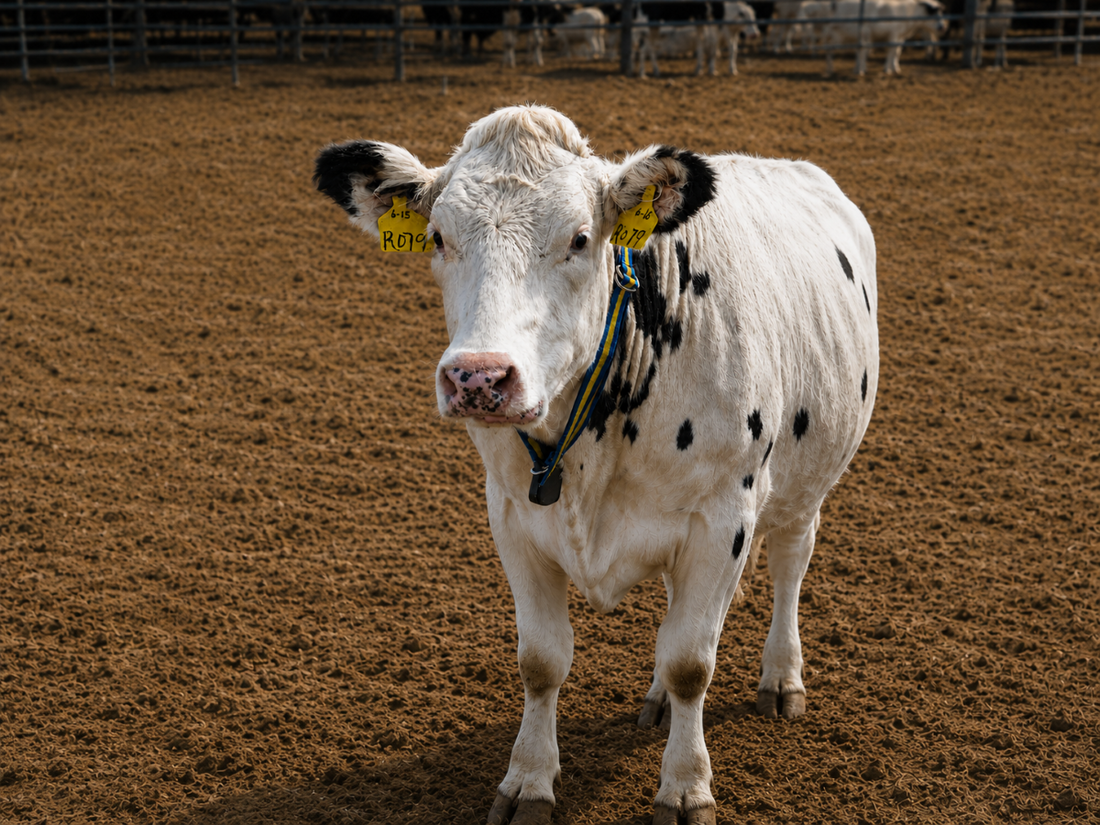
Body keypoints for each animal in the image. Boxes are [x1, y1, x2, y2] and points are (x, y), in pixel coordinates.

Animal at [313, 105, 879, 825]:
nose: (478, 377)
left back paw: (781, 676)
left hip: (806, 485)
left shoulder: (723, 518)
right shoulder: (513, 515)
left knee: (789, 564)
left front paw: (685, 787)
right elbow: (542, 660)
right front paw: (527, 779)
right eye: (438, 236)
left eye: (581, 238)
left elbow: (693, 662)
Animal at [817, 0, 947, 75]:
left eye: (941, 12)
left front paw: (895, 68)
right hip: (832, 33)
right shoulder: (893, 34)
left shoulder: (900, 36)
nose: (942, 27)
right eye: (932, 12)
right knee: (830, 50)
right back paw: (832, 70)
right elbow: (890, 51)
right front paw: (887, 69)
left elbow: (897, 52)